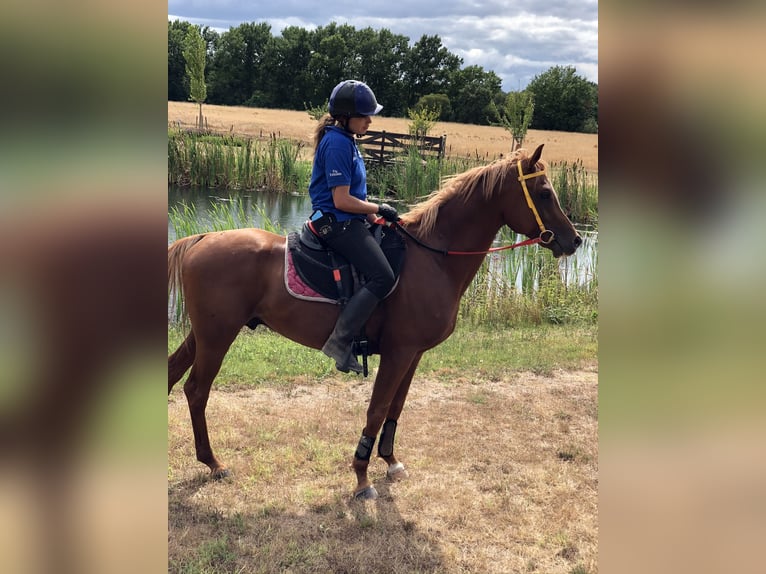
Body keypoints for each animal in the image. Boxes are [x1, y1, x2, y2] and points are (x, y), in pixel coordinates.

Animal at [168, 146, 584, 502]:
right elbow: (378, 408)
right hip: (217, 337)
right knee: (196, 390)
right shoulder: (398, 353)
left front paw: (390, 461)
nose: (575, 240)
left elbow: (396, 407)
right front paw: (361, 477)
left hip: (203, 335)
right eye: (544, 193)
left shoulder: (413, 355)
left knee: (174, 376)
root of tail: (201, 238)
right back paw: (213, 462)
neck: (433, 258)